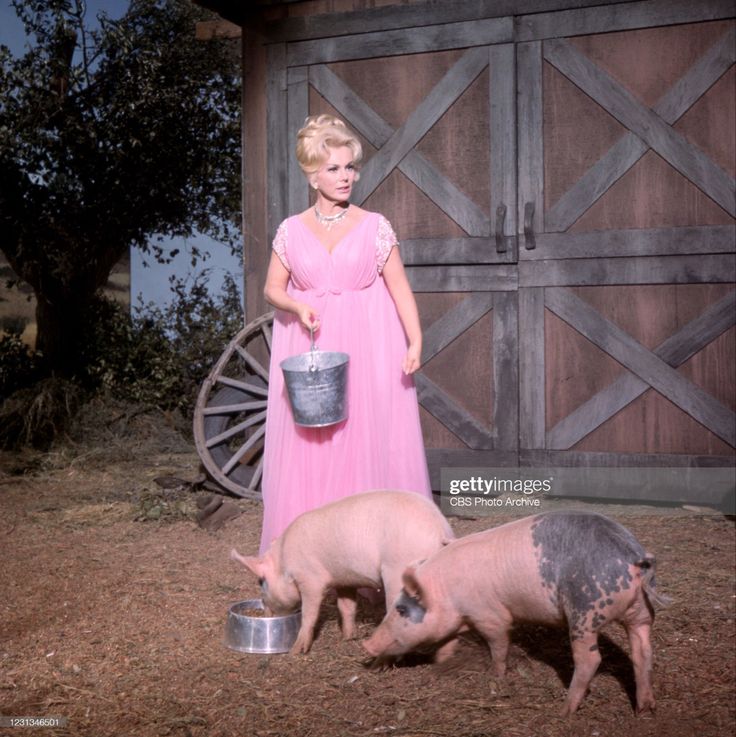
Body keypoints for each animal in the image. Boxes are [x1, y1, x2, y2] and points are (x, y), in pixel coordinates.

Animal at [230, 492, 454, 652]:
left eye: (261, 582)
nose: (265, 614)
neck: (284, 562)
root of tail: (440, 530)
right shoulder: (345, 580)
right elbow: (346, 607)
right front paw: (347, 637)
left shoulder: (310, 579)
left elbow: (310, 612)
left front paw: (296, 651)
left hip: (397, 570)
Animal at [362, 512, 668, 712]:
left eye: (401, 609)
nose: (367, 644)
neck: (445, 592)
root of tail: (633, 557)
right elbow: (446, 645)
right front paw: (442, 663)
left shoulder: (489, 614)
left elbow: (498, 644)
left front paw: (495, 677)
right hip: (641, 612)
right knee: (643, 652)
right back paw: (644, 709)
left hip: (585, 612)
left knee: (591, 660)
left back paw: (565, 710)